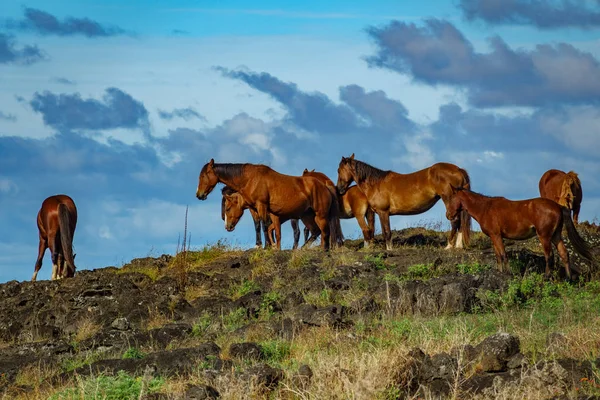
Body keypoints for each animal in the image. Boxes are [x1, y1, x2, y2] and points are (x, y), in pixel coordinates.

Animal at [198, 159, 342, 250]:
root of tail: (325, 185)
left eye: (204, 176)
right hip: (306, 216)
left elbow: (264, 225)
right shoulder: (257, 209)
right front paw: (264, 245)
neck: (250, 179)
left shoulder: (262, 206)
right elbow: (262, 226)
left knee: (324, 232)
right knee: (315, 231)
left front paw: (267, 246)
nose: (199, 195)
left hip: (319, 216)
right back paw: (302, 249)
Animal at [336, 153, 472, 250]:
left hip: (449, 201)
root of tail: (458, 169)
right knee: (460, 223)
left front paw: (389, 250)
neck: (376, 184)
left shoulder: (383, 212)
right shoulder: (380, 213)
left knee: (455, 221)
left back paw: (449, 246)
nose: (339, 189)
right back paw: (459, 246)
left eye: (338, 170)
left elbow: (387, 232)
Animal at [448, 187, 592, 278]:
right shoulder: (493, 237)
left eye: (451, 199)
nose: (448, 215)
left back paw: (546, 277)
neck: (485, 208)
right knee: (564, 253)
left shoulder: (497, 236)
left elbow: (503, 254)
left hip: (544, 236)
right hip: (556, 235)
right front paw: (499, 272)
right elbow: (498, 256)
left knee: (549, 256)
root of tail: (558, 206)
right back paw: (569, 278)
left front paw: (508, 273)